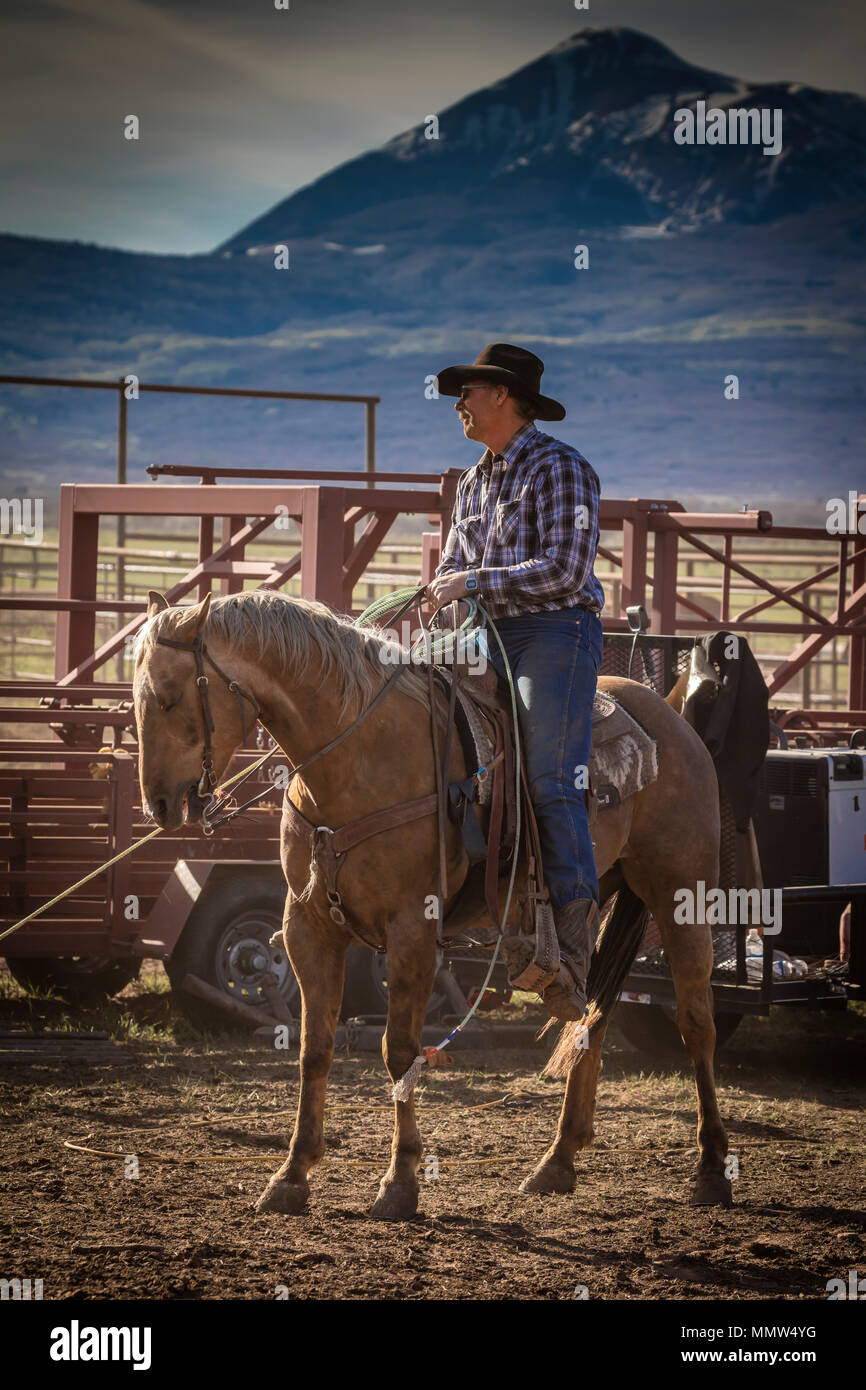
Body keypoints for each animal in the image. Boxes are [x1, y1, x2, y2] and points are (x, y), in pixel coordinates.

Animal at [135, 592, 733, 1223]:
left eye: (169, 697)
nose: (159, 804)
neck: (356, 755)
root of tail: (670, 714)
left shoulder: (412, 931)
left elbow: (399, 1052)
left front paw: (399, 1183)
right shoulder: (307, 926)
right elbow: (314, 1049)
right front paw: (291, 1175)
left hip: (681, 892)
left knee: (697, 1023)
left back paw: (711, 1169)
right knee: (591, 1017)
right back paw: (557, 1161)